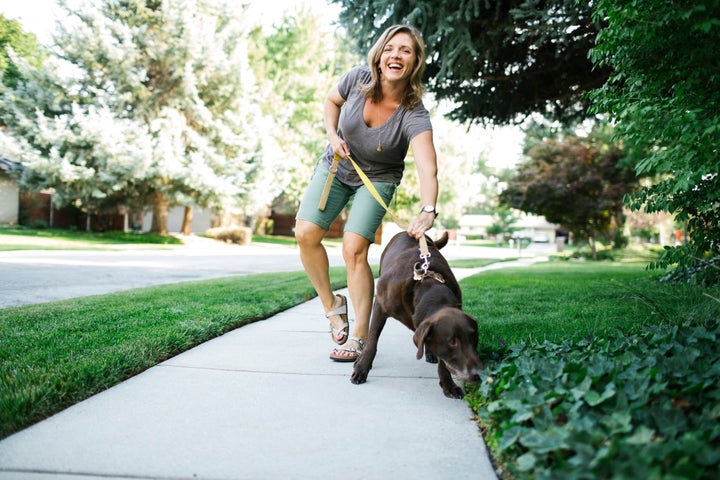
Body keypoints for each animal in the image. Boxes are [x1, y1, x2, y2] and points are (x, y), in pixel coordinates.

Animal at [350, 230, 480, 398]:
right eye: (452, 342)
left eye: (474, 338)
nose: (479, 374)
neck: (428, 287)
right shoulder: (379, 305)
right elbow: (372, 341)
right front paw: (362, 367)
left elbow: (443, 362)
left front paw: (448, 385)